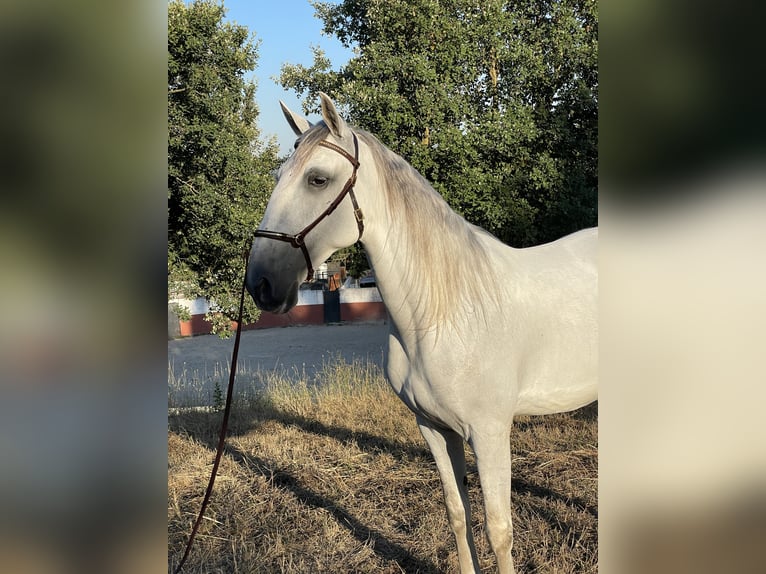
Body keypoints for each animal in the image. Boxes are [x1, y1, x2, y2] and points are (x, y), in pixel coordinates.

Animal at [248, 92, 600, 572]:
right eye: (278, 176)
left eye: (317, 179)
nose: (261, 283)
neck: (442, 316)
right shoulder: (433, 429)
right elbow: (458, 514)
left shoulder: (490, 433)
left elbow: (499, 529)